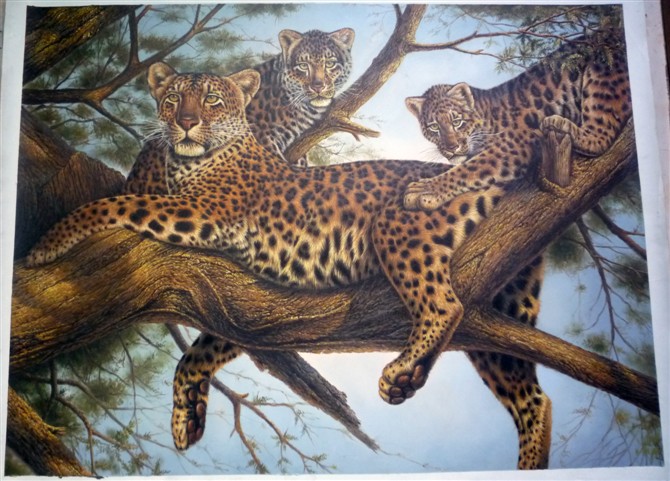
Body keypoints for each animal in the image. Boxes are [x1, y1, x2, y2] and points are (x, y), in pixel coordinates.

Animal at [27, 63, 551, 469]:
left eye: (212, 99)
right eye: (173, 98)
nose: (187, 123)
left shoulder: (202, 212)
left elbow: (115, 204)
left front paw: (47, 243)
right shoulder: (237, 300)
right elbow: (199, 351)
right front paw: (187, 417)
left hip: (400, 228)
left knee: (444, 305)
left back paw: (403, 373)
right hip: (496, 304)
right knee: (534, 398)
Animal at [403, 35, 631, 212]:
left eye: (457, 121)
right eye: (434, 127)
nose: (451, 147)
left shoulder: (512, 145)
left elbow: (466, 170)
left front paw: (424, 190)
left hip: (603, 75)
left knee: (600, 136)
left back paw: (559, 123)